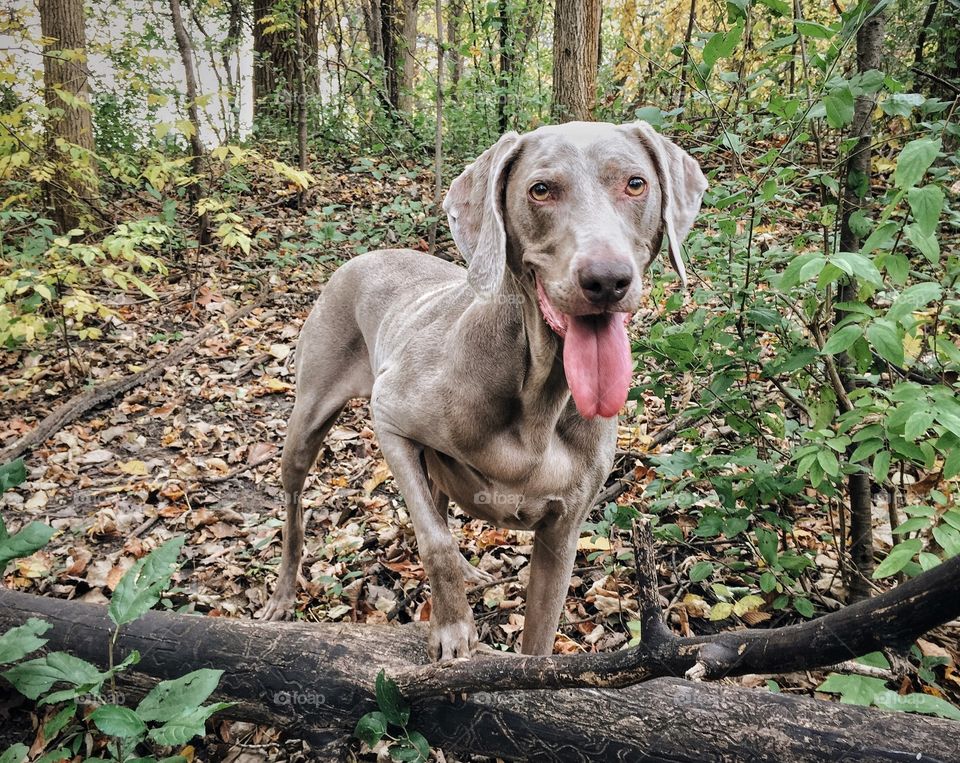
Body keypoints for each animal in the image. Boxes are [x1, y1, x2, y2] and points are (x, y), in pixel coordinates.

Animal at [260, 121, 704, 664]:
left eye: (636, 184)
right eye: (541, 190)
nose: (606, 280)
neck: (537, 396)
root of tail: (363, 256)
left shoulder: (562, 534)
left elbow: (539, 640)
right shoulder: (391, 417)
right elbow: (435, 542)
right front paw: (453, 629)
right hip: (308, 419)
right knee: (296, 504)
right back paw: (283, 595)